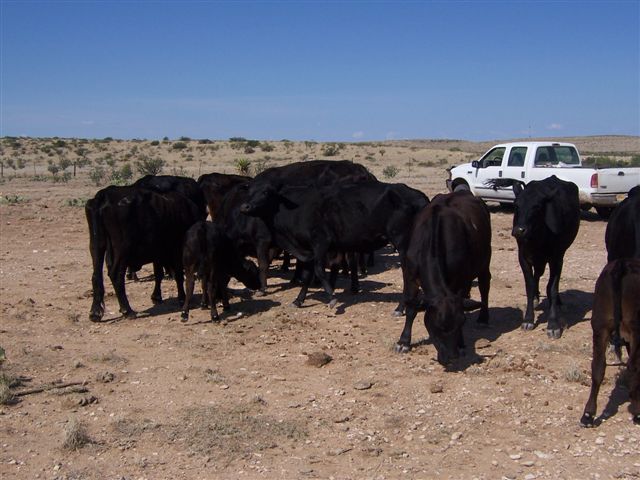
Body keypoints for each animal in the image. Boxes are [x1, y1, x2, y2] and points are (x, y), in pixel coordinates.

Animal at [85, 186, 200, 320]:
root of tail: (104, 195)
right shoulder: (176, 251)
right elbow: (178, 275)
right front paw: (182, 297)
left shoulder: (158, 254)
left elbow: (159, 274)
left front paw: (156, 296)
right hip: (122, 250)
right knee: (116, 275)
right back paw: (127, 310)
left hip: (97, 245)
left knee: (96, 276)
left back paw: (95, 312)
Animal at [242, 180, 428, 312]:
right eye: (249, 192)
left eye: (266, 192)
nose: (245, 206)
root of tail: (419, 197)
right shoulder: (309, 250)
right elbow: (308, 275)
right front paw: (298, 300)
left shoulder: (321, 243)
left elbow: (319, 270)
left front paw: (332, 298)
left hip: (402, 244)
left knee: (408, 275)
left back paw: (401, 307)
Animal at [392, 191, 492, 364]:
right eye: (436, 326)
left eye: (461, 322)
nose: (452, 357)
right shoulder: (410, 276)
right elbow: (411, 307)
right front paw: (403, 342)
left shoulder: (460, 279)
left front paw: (461, 344)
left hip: (485, 260)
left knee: (484, 286)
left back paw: (483, 318)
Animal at [490, 175, 580, 338]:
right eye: (516, 206)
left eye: (537, 207)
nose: (519, 230)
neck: (538, 238)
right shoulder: (523, 257)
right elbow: (530, 286)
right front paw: (528, 319)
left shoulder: (556, 258)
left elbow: (552, 288)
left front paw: (553, 324)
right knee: (537, 275)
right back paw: (537, 298)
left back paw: (558, 302)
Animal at [580, 258, 640, 428]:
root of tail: (622, 265)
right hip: (635, 328)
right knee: (633, 367)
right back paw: (637, 412)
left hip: (600, 325)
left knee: (598, 366)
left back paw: (588, 415)